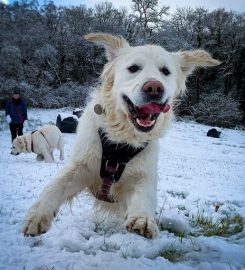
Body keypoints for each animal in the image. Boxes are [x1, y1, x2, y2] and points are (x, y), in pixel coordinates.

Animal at [22, 33, 220, 238]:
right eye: (133, 68)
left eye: (165, 71)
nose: (154, 88)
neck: (121, 140)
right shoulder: (81, 165)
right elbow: (54, 186)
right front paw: (38, 214)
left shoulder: (143, 172)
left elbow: (143, 194)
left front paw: (142, 219)